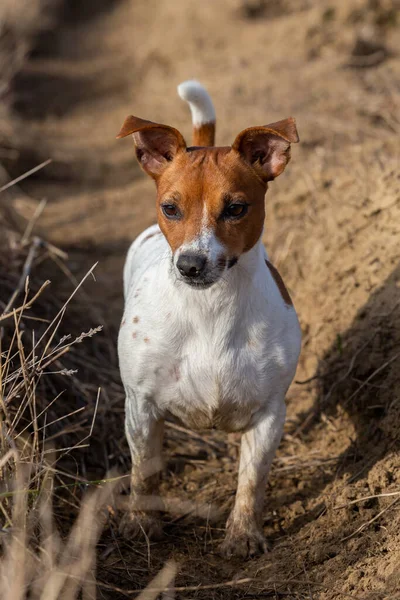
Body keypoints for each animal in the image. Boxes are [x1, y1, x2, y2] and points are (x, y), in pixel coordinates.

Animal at [115, 79, 300, 556]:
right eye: (170, 208)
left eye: (235, 208)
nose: (191, 265)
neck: (210, 312)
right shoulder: (140, 408)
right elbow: (146, 472)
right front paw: (142, 523)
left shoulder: (270, 414)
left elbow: (251, 482)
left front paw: (244, 534)